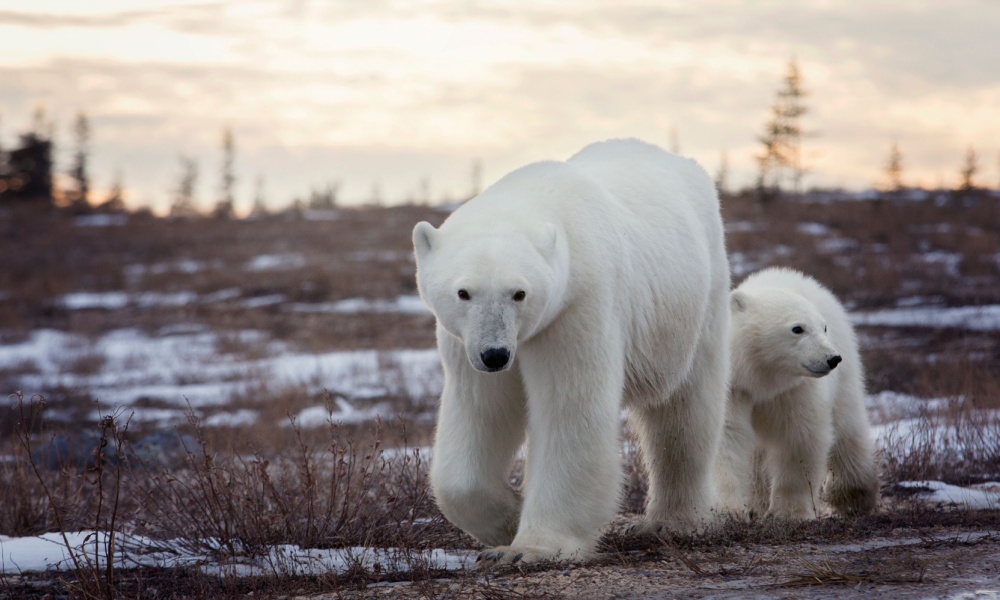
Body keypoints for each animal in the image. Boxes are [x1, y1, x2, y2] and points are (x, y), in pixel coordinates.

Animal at [410, 138, 732, 564]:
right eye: (463, 292)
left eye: (519, 292)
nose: (495, 354)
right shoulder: (464, 342)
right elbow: (481, 411)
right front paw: (507, 520)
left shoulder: (576, 306)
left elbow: (569, 409)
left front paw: (530, 548)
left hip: (696, 303)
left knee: (685, 411)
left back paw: (674, 521)